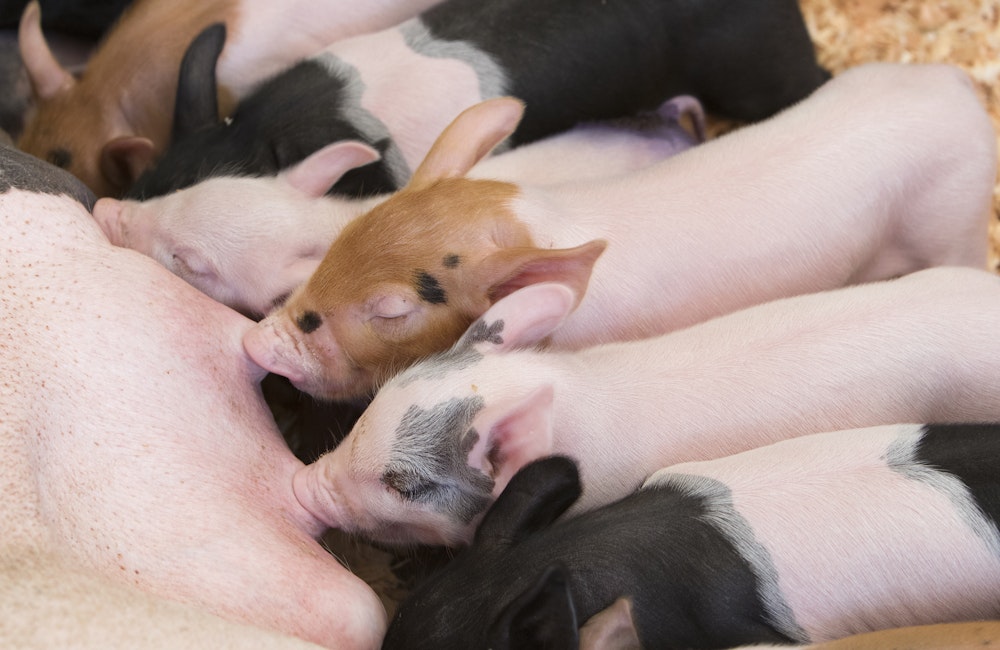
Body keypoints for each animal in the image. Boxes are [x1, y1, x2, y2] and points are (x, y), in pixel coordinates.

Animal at [244, 63, 996, 403]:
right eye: (342, 242)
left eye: (392, 309)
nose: (256, 342)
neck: (536, 227)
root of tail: (960, 89)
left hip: (953, 219)